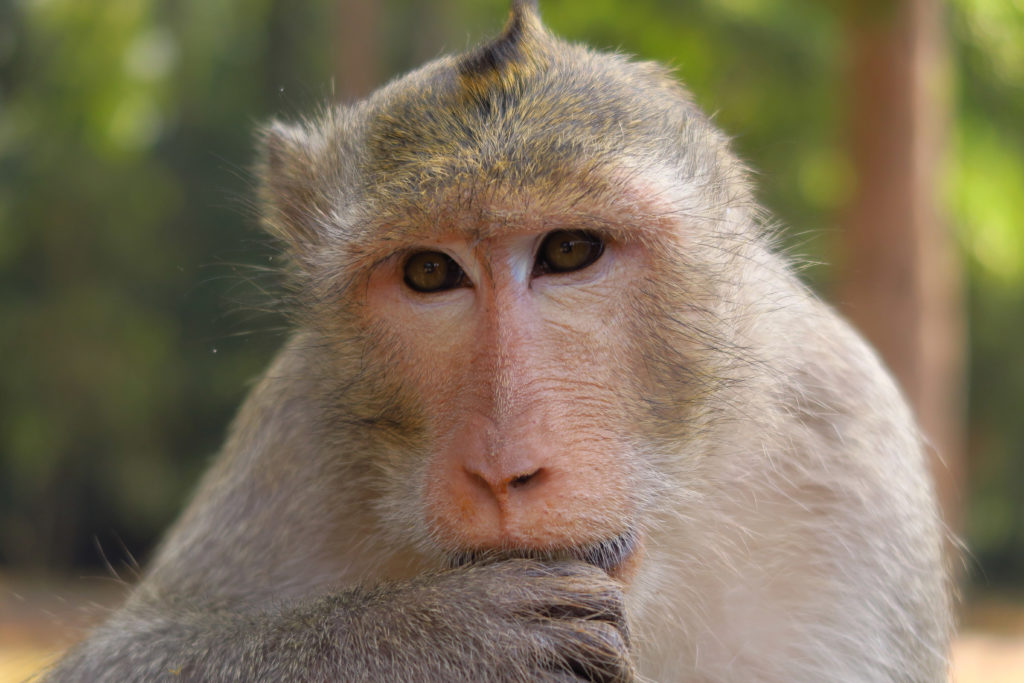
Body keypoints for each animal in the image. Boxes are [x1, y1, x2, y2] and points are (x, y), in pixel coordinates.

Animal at [44, 2, 946, 679]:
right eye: (430, 271)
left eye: (570, 251)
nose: (503, 469)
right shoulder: (300, 428)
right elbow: (130, 652)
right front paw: (440, 638)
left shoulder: (846, 434)